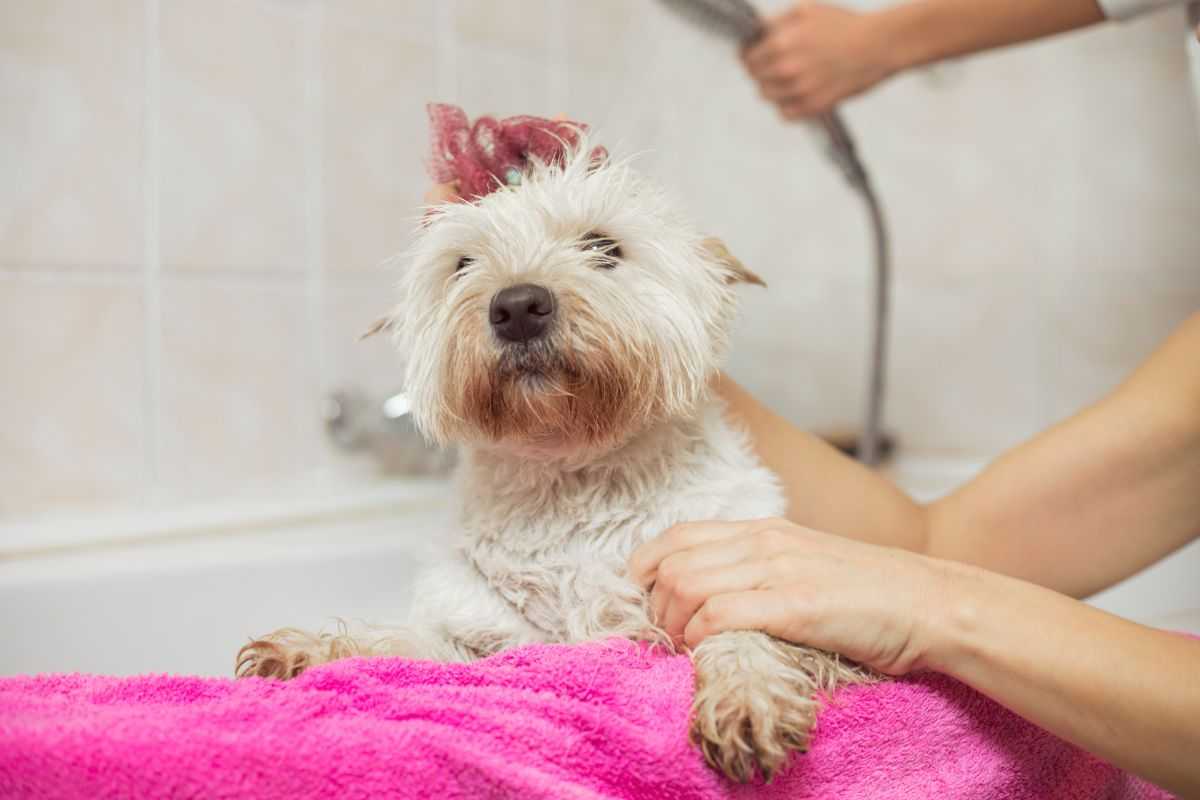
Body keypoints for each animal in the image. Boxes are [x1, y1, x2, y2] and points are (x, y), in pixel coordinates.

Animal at [238, 137, 868, 782]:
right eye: (462, 263)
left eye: (603, 247)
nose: (517, 306)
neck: (574, 475)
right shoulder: (497, 638)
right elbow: (403, 644)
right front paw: (307, 649)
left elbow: (746, 634)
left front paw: (746, 698)